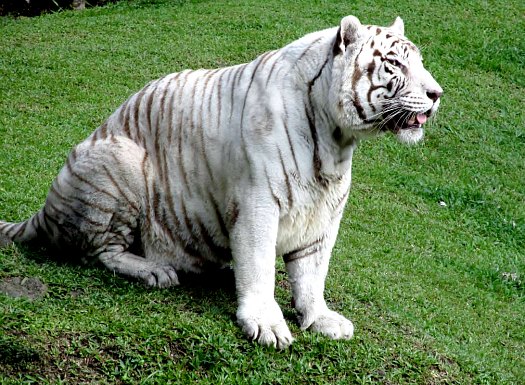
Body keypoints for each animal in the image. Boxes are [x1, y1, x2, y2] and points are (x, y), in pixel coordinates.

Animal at [0, 15, 442, 346]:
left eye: (418, 62)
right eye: (395, 64)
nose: (437, 94)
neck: (335, 140)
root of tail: (44, 210)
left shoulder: (324, 213)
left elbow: (313, 273)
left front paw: (320, 318)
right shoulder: (258, 203)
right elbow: (260, 267)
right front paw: (266, 324)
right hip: (119, 161)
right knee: (97, 252)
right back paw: (154, 271)